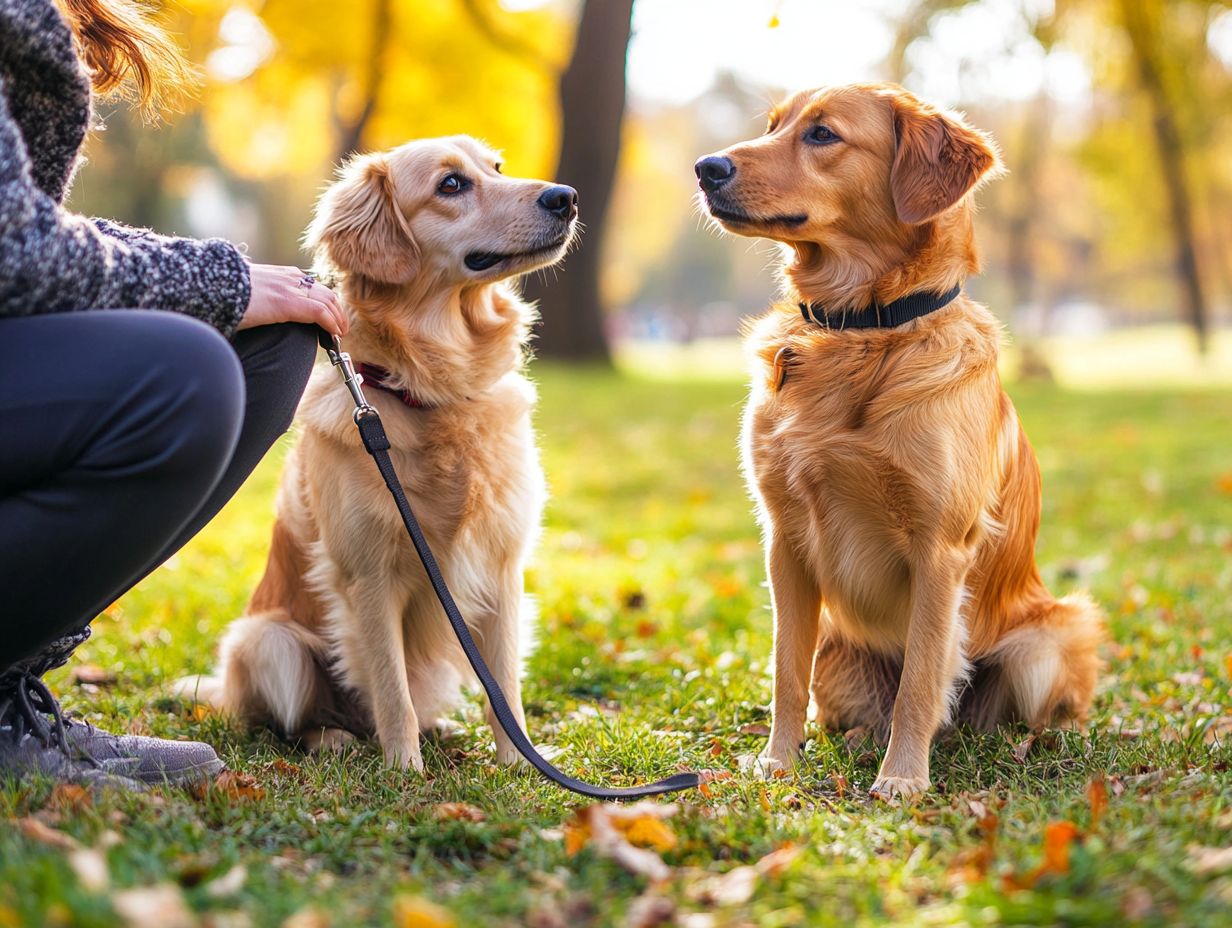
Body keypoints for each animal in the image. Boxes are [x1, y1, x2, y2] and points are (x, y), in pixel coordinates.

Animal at [181, 131, 576, 769]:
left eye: (497, 167)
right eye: (450, 184)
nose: (565, 197)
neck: (435, 393)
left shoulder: (502, 568)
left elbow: (504, 689)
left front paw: (520, 764)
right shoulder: (368, 577)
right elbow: (391, 689)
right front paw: (404, 770)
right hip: (269, 641)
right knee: (294, 720)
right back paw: (336, 740)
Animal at [694, 85, 1108, 798]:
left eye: (823, 134)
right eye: (773, 126)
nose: (705, 168)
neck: (861, 329)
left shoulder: (939, 549)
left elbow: (920, 678)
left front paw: (903, 780)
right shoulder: (784, 540)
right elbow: (784, 670)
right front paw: (776, 762)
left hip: (1052, 637)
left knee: (1003, 711)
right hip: (838, 652)